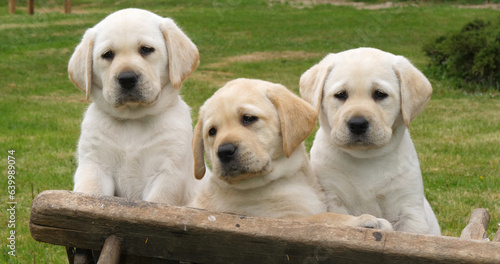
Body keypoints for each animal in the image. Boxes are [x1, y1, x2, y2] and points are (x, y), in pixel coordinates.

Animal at [68, 8, 199, 204]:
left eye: (146, 49)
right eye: (107, 54)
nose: (127, 78)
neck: (132, 119)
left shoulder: (168, 172)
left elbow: (157, 201)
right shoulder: (94, 164)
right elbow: (91, 192)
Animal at [189, 78, 392, 229]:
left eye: (248, 118)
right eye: (212, 132)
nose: (224, 151)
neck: (286, 178)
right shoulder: (281, 219)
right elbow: (323, 218)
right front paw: (362, 220)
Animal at [298, 47, 440, 235]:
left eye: (379, 94)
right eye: (340, 95)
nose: (357, 124)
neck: (366, 158)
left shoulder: (409, 208)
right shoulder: (333, 198)